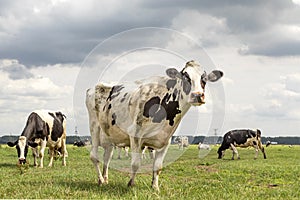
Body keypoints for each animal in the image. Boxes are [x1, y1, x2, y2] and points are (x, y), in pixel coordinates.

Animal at [86, 59, 223, 191]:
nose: (198, 95)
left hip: (109, 136)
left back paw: (105, 179)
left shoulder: (165, 140)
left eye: (204, 79)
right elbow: (135, 163)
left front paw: (155, 187)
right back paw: (101, 180)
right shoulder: (135, 134)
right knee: (94, 156)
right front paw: (131, 184)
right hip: (94, 126)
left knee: (107, 158)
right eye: (185, 77)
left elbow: (158, 167)